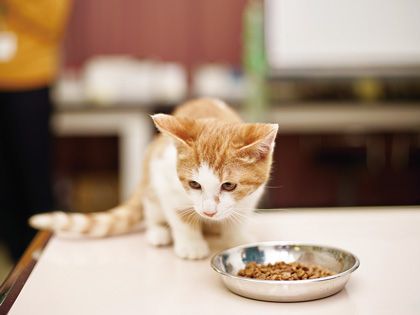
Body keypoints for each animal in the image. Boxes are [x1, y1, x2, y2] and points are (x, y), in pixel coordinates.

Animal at [30, 99, 278, 260]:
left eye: (229, 185)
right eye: (194, 184)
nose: (208, 212)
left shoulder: (251, 196)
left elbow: (238, 217)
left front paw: (235, 237)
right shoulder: (164, 177)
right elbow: (179, 216)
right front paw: (191, 244)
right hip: (150, 182)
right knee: (153, 209)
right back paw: (158, 231)